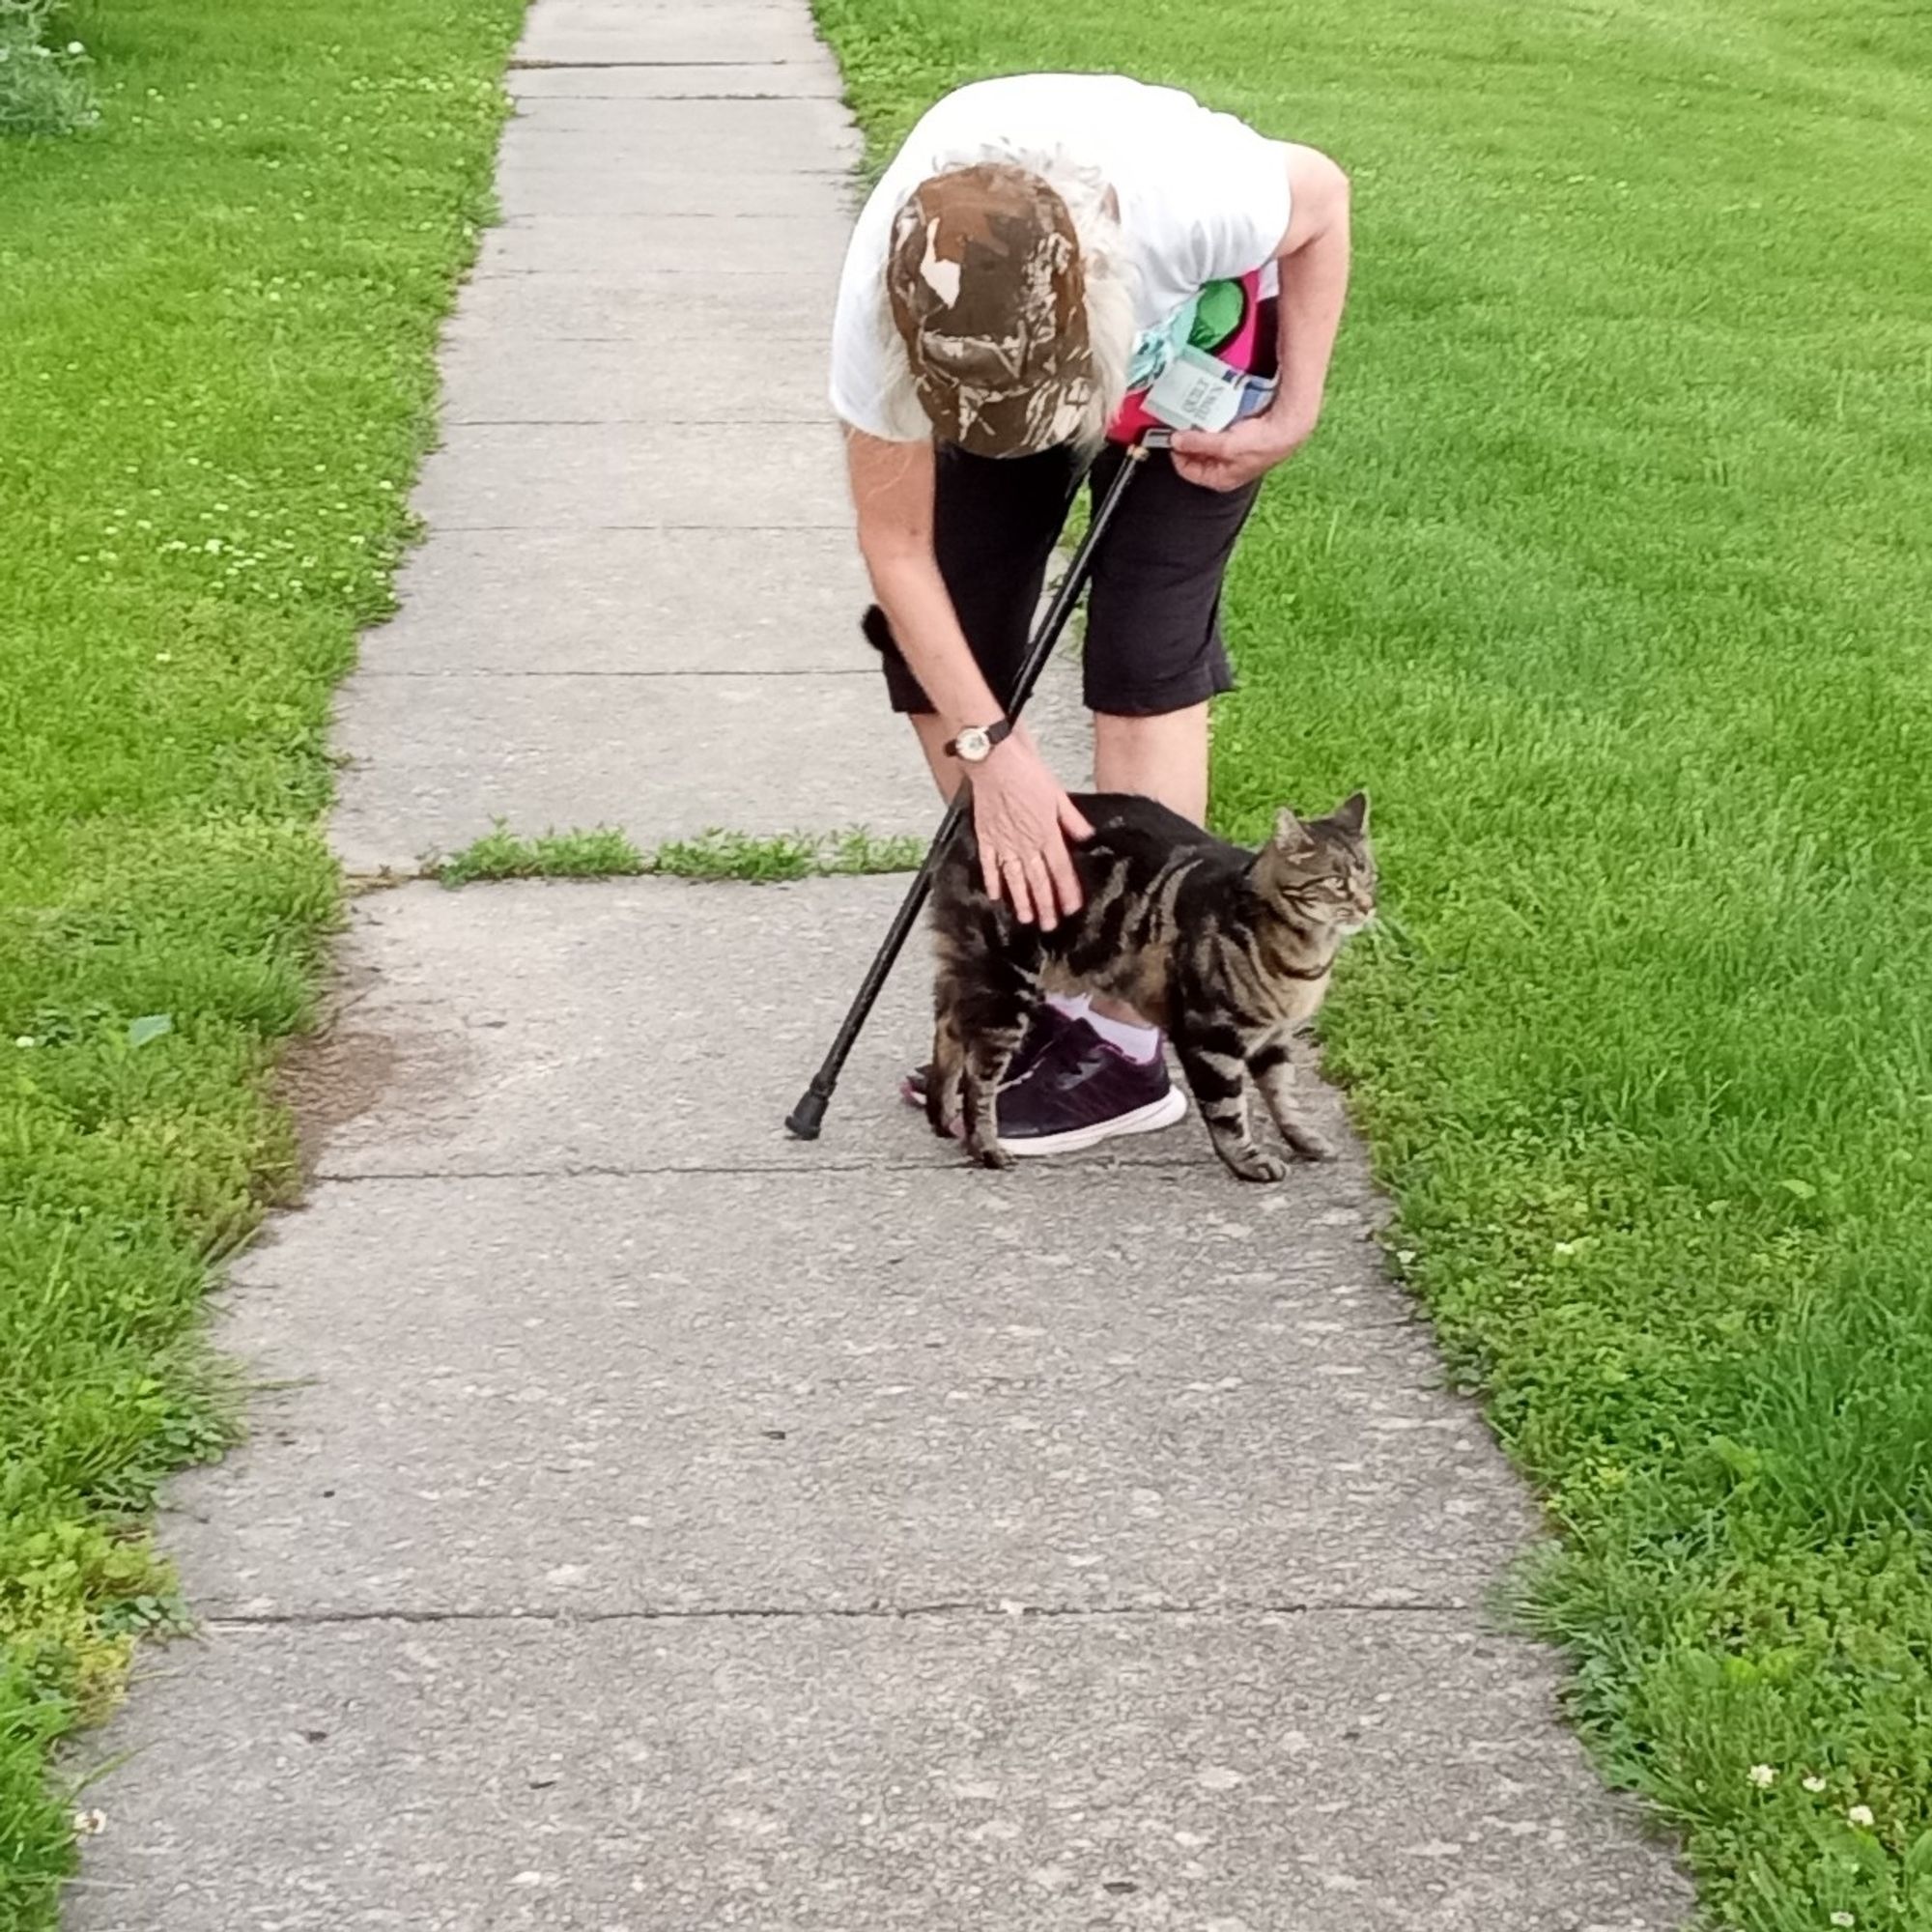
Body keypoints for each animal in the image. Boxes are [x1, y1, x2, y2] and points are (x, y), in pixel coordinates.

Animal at [923, 784, 1368, 1175]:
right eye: (1336, 882)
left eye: (1370, 877)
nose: (1367, 905)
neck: (1304, 954)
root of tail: (968, 828)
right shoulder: (1209, 1037)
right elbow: (1227, 1112)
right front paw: (1247, 1162)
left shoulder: (1273, 1038)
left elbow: (1282, 1096)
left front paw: (1303, 1139)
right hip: (1007, 983)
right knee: (978, 1077)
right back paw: (984, 1146)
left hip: (974, 970)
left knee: (948, 1028)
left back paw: (940, 1116)